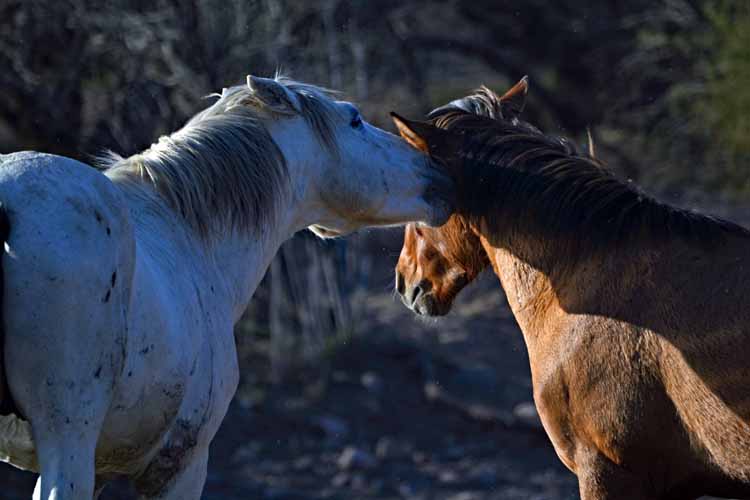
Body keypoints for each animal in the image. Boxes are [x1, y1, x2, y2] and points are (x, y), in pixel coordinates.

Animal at [0, 72, 452, 498]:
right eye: (354, 119)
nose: (439, 170)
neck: (187, 233)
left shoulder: (107, 468)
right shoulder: (180, 467)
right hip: (68, 437)